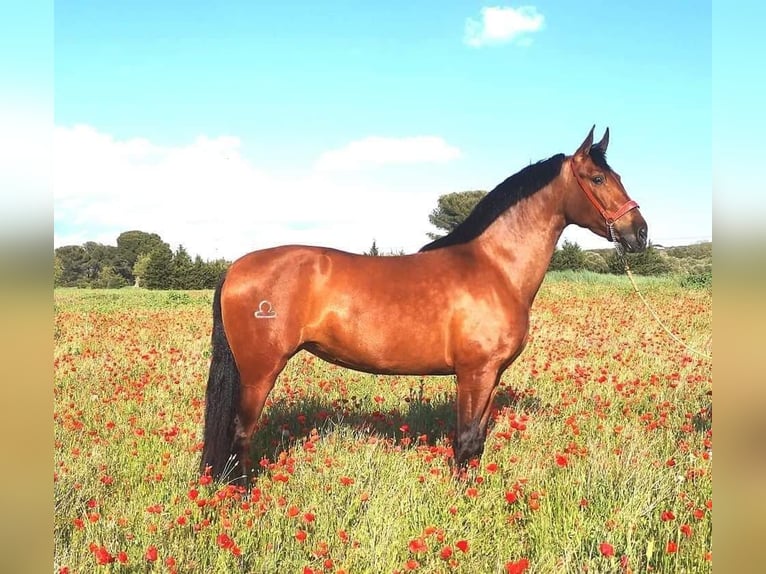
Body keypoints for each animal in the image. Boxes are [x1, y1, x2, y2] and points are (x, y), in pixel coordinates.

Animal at [202, 128, 648, 484]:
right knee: (240, 433)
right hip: (259, 372)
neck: (494, 266)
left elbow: (477, 442)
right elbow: (465, 441)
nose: (640, 233)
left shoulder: (492, 376)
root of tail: (236, 267)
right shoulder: (474, 373)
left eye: (619, 177)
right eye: (597, 178)